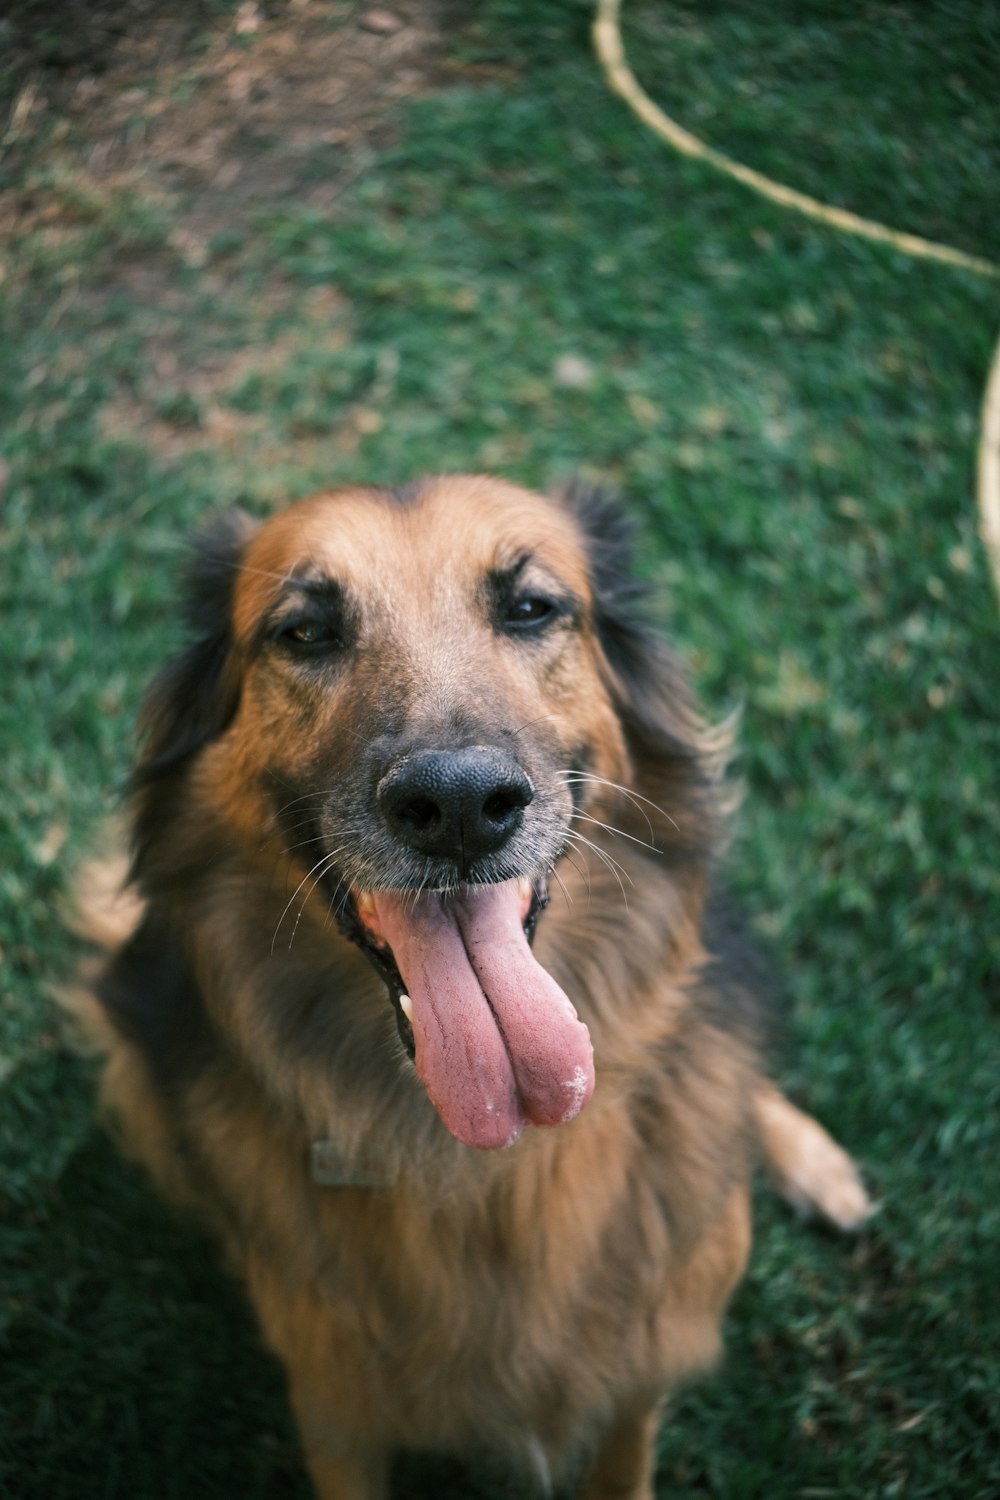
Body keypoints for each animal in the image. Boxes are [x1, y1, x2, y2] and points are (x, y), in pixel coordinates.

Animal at [68, 477, 869, 1500]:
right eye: (304, 632)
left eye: (529, 608)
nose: (458, 805)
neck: (492, 1165)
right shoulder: (336, 1408)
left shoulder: (639, 1372)